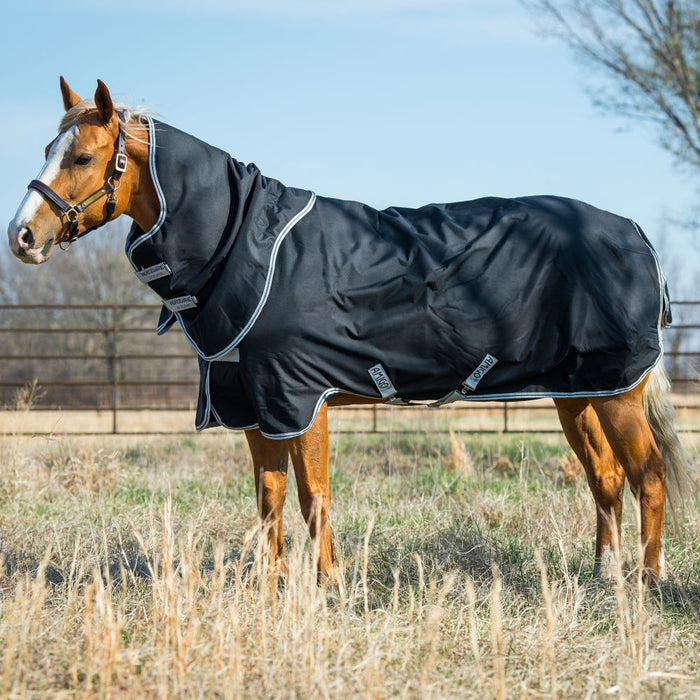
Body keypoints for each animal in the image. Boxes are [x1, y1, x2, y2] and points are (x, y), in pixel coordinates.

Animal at [7, 77, 692, 584]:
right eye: (46, 150)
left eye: (83, 156)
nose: (22, 236)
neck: (250, 246)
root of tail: (636, 234)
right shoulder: (255, 408)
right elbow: (270, 499)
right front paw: (273, 586)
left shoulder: (300, 400)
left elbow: (314, 495)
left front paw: (330, 585)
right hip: (578, 393)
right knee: (606, 478)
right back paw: (604, 576)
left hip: (617, 392)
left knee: (648, 474)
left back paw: (648, 582)